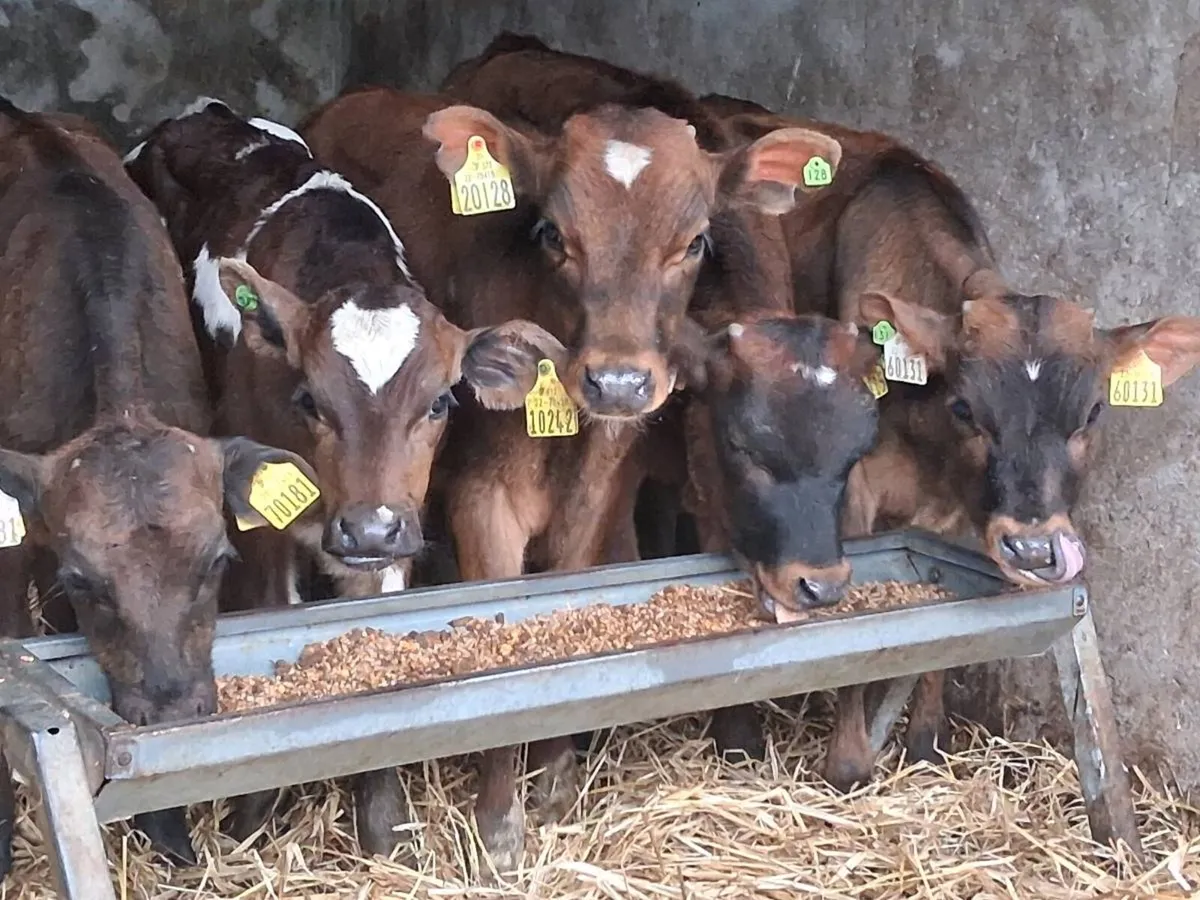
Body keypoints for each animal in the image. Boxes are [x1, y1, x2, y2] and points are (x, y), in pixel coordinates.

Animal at [123, 97, 563, 856]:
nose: (369, 529)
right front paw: (249, 819)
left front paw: (382, 826)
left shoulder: (397, 531)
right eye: (309, 400)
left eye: (440, 402)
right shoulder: (262, 526)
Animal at [301, 76, 843, 869]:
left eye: (694, 241)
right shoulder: (482, 501)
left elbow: (572, 621)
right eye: (553, 234)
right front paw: (498, 825)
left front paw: (554, 780)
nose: (617, 381)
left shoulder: (600, 496)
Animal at [701, 94, 1200, 791]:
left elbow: (943, 628)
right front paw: (848, 762)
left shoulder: (964, 509)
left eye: (1093, 413)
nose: (1036, 549)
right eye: (966, 408)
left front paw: (925, 743)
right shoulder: (853, 493)